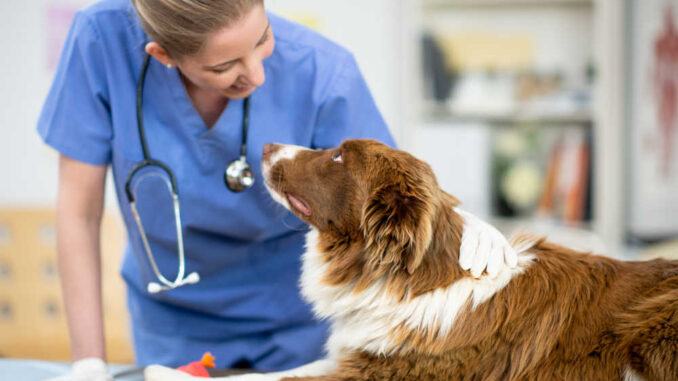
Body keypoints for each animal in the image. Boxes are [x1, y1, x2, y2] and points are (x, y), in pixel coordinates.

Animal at [147, 140, 678, 380]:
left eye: (338, 157)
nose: (266, 145)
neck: (407, 278)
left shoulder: (390, 371)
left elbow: (269, 379)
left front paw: (164, 373)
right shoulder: (362, 354)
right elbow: (281, 372)